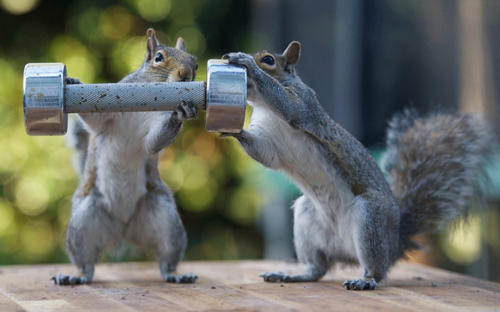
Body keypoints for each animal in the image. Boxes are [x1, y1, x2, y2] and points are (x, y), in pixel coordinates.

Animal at [51, 28, 198, 286]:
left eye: (195, 63)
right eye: (158, 57)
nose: (186, 74)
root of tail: (123, 229)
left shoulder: (151, 135)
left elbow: (154, 142)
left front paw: (180, 113)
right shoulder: (108, 117)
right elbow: (95, 120)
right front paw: (73, 82)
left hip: (166, 221)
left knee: (166, 260)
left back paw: (175, 273)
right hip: (83, 223)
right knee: (86, 264)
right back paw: (75, 276)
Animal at [225, 42, 490, 290]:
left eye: (269, 60)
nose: (246, 64)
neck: (265, 108)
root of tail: (394, 244)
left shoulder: (304, 103)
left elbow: (288, 105)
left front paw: (246, 62)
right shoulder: (270, 144)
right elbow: (265, 154)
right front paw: (232, 130)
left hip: (370, 218)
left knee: (375, 269)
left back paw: (365, 280)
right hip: (307, 217)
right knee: (317, 269)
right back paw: (293, 275)